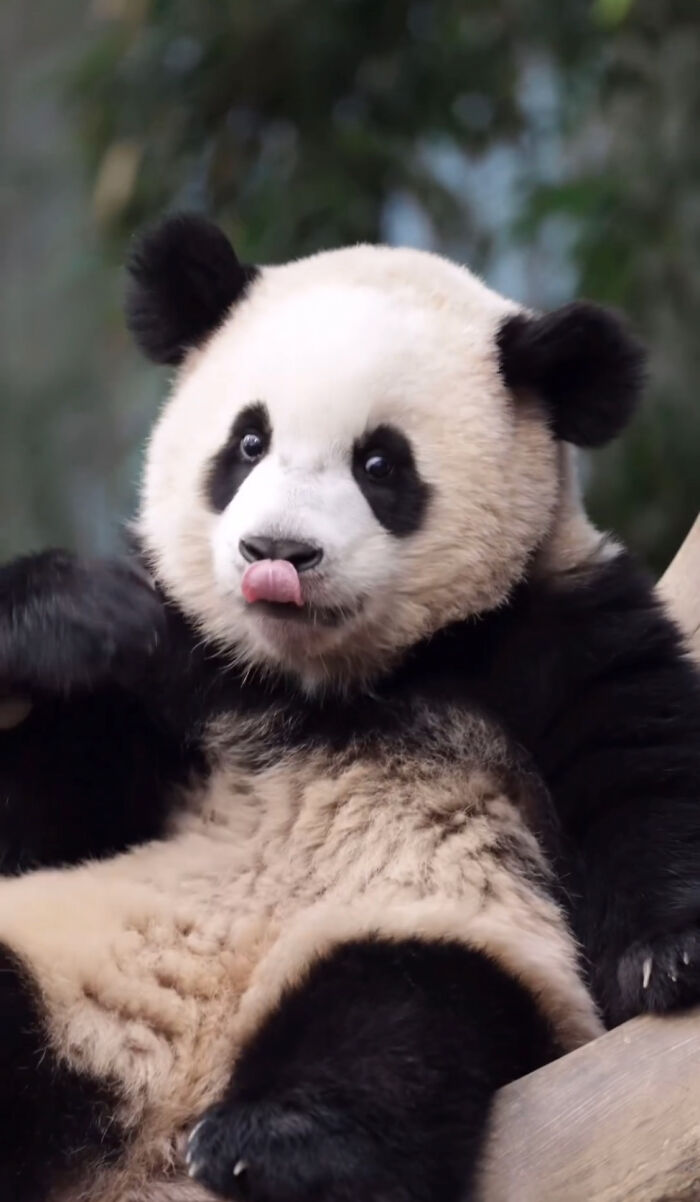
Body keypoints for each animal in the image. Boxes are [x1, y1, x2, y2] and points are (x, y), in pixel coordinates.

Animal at [1, 213, 700, 1202]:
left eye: (380, 464)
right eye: (246, 444)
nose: (276, 552)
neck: (329, 684)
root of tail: (155, 1117)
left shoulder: (553, 623)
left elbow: (639, 763)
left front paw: (666, 954)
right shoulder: (186, 668)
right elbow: (50, 813)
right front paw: (65, 622)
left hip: (431, 931)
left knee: (395, 1024)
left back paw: (274, 1141)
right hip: (64, 947)